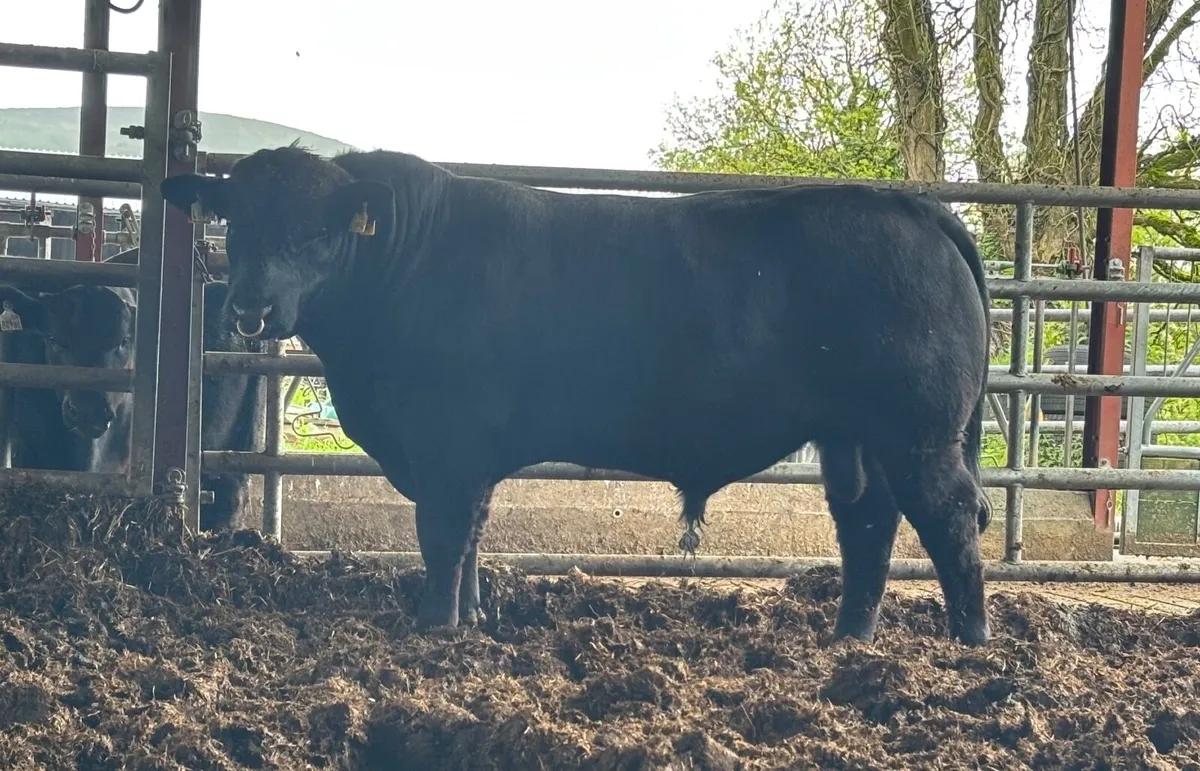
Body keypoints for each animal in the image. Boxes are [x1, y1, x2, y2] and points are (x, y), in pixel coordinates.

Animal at [161, 145, 994, 645]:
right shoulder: (468, 452)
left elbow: (443, 532)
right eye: (237, 220)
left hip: (917, 431)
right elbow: (471, 534)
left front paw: (436, 626)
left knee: (948, 516)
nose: (251, 307)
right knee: (869, 521)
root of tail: (913, 208)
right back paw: (850, 638)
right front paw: (472, 616)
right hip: (858, 435)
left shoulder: (448, 441)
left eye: (316, 231)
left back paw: (970, 641)